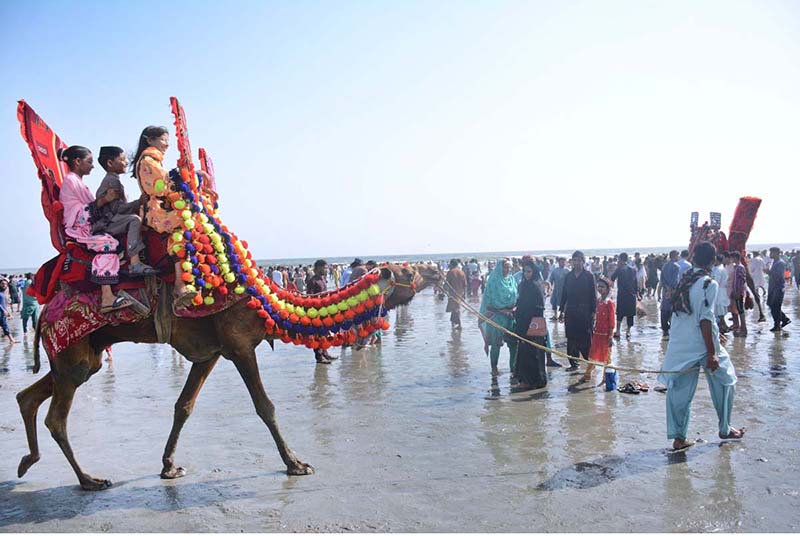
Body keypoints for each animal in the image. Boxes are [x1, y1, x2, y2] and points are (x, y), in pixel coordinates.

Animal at [15, 99, 444, 490]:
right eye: (407, 270)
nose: (436, 270)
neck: (258, 294)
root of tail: (47, 309)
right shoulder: (239, 343)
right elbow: (265, 406)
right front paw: (296, 463)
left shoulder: (209, 351)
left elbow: (183, 406)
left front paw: (169, 466)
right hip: (72, 347)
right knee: (56, 416)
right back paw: (88, 479)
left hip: (82, 354)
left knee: (29, 396)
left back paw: (27, 462)